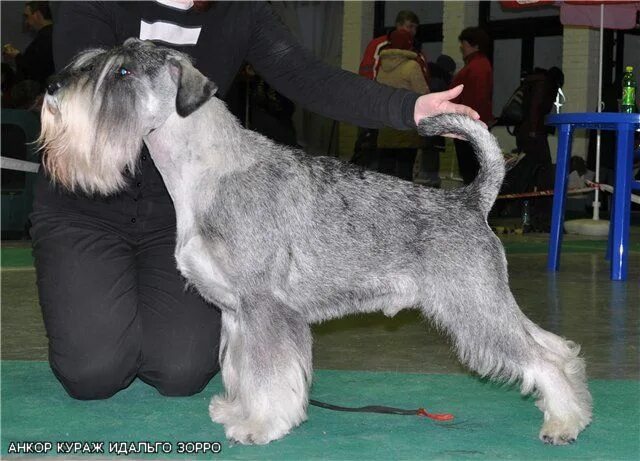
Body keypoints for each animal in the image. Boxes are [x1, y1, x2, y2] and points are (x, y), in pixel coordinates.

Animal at [38, 40, 592, 446]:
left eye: (123, 72)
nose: (52, 86)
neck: (206, 172)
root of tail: (472, 200)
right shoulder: (237, 314)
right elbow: (242, 369)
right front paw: (237, 410)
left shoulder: (265, 307)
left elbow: (267, 374)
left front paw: (259, 425)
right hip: (484, 300)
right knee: (553, 345)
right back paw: (576, 410)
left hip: (473, 305)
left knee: (540, 356)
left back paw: (563, 422)